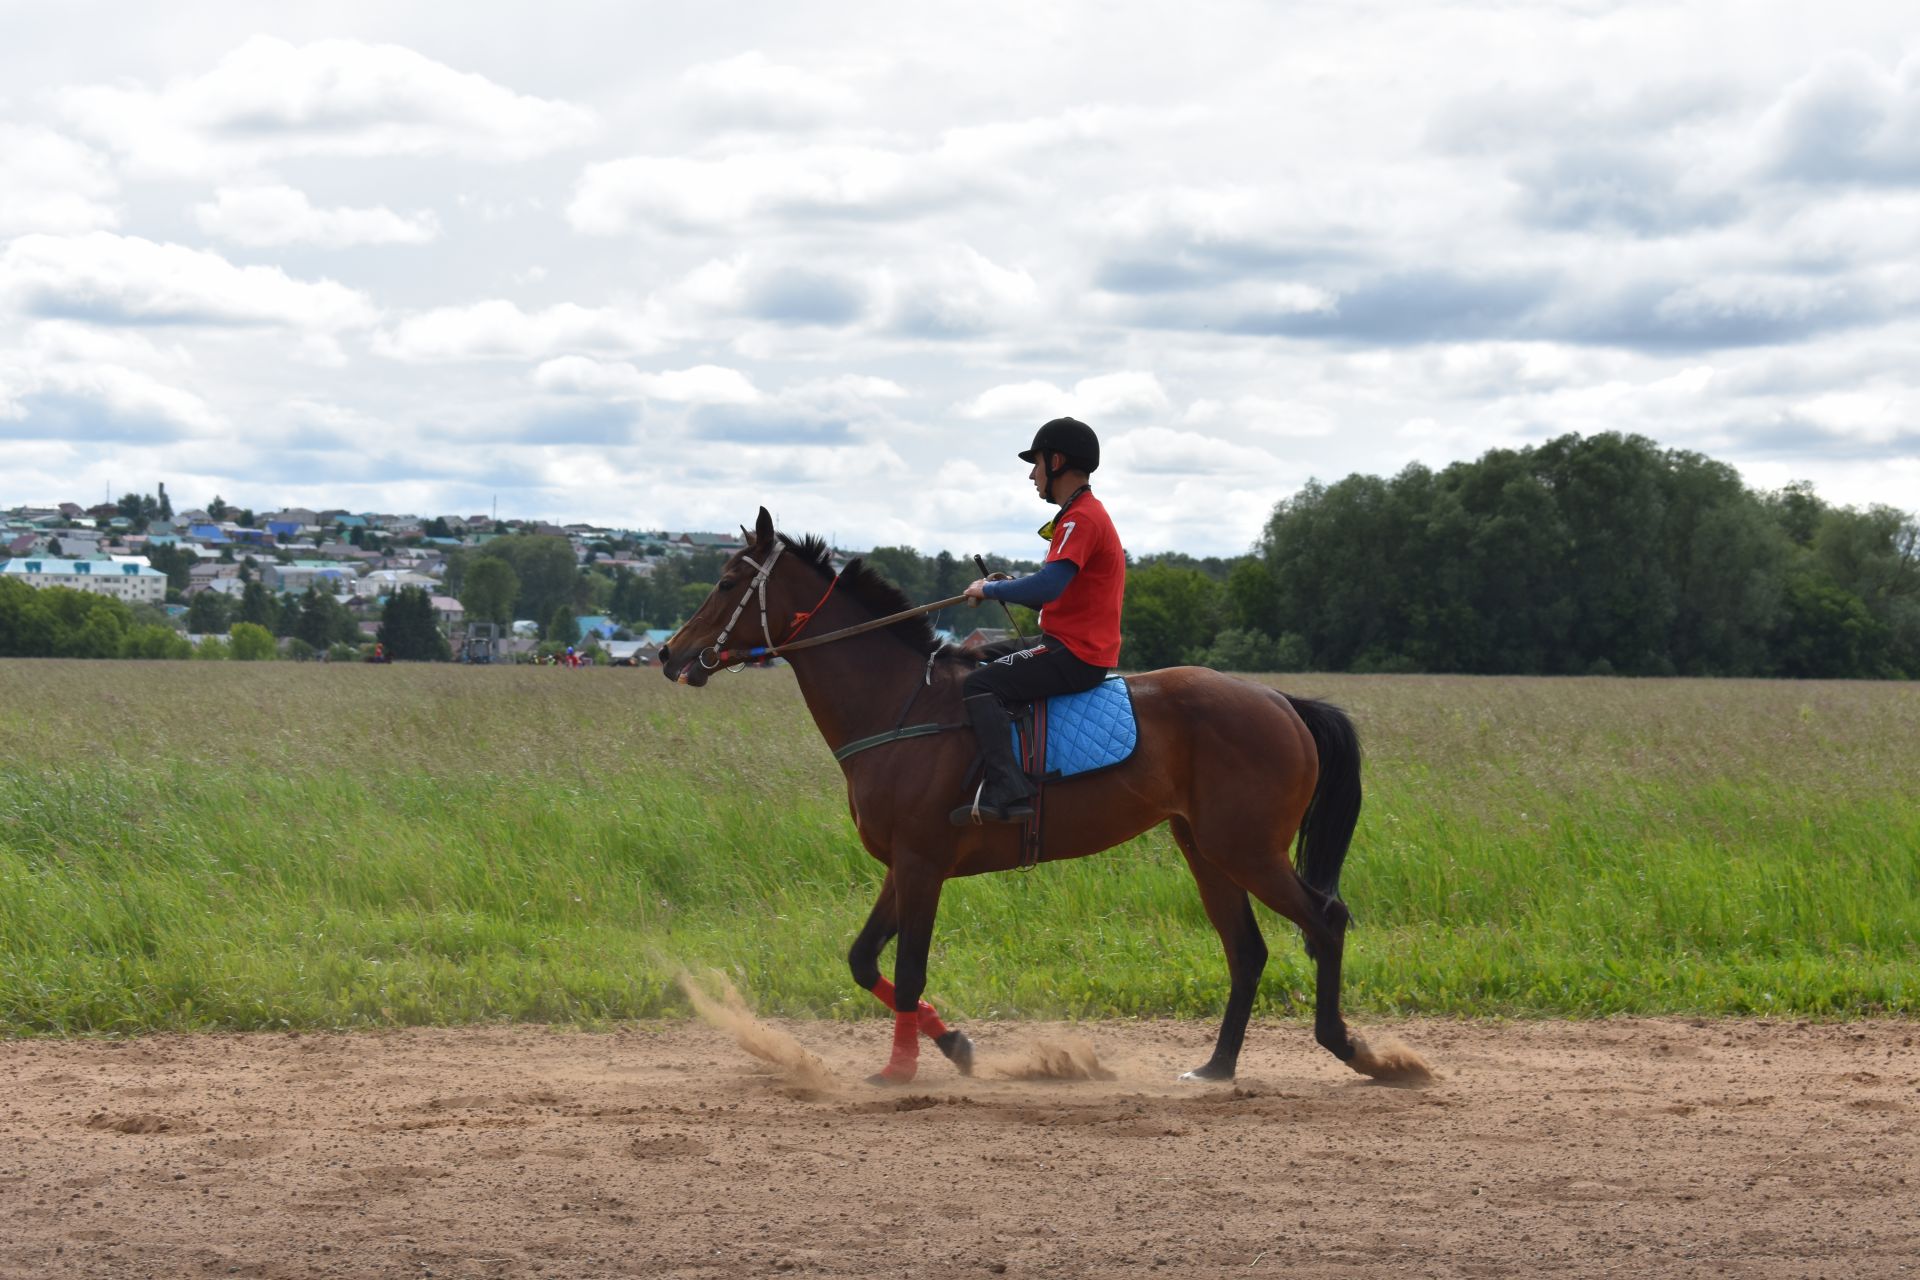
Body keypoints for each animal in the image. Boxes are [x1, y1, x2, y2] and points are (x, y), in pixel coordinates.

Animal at [664, 506, 1428, 1090]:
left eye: (728, 580)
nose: (671, 654)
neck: (900, 701)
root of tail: (1280, 700)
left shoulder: (922, 863)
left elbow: (906, 969)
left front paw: (902, 1069)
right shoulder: (903, 865)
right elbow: (863, 960)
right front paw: (954, 1044)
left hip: (1247, 850)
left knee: (1326, 921)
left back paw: (1353, 1049)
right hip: (1207, 850)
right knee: (1248, 952)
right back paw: (1216, 1067)